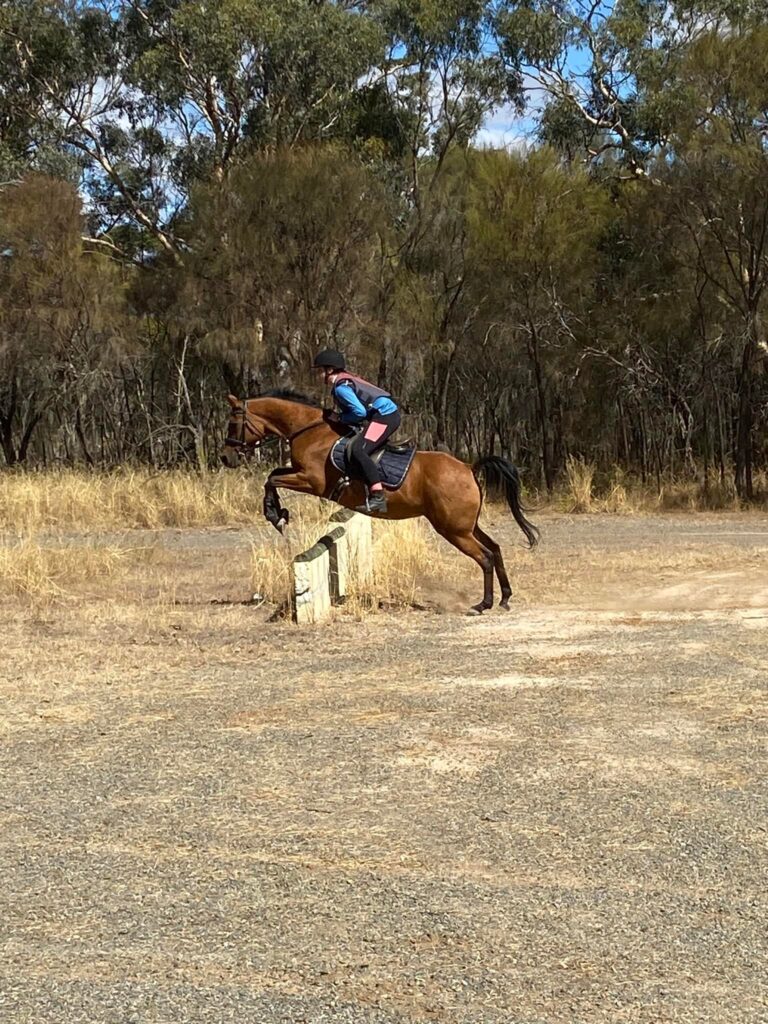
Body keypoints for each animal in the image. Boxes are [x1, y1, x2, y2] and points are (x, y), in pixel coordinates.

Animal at [220, 390, 539, 614]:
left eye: (233, 423)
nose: (225, 457)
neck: (309, 429)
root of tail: (469, 468)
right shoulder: (301, 475)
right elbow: (273, 475)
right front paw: (278, 512)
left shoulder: (312, 480)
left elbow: (272, 479)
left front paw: (275, 513)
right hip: (466, 526)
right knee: (494, 549)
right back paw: (505, 598)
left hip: (453, 529)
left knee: (484, 556)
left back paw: (483, 604)